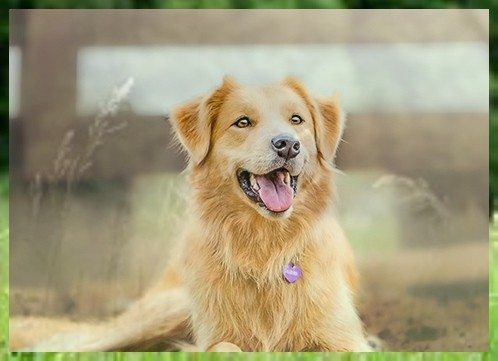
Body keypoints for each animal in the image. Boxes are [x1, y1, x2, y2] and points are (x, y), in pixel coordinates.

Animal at [8, 76, 374, 352]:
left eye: (296, 120)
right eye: (243, 122)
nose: (288, 145)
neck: (265, 247)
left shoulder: (346, 341)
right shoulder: (215, 337)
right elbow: (225, 348)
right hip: (163, 312)